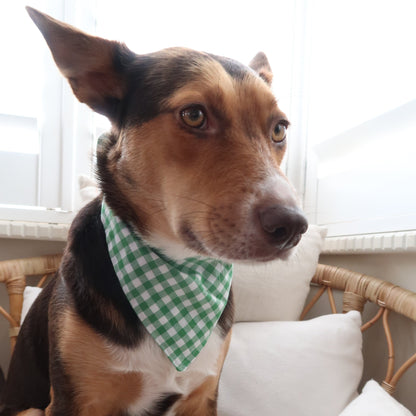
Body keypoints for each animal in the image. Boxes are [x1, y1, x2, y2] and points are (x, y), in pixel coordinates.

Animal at [0, 6, 306, 416]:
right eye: (193, 115)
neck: (179, 271)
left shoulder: (203, 396)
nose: (293, 226)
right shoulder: (74, 401)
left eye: (279, 130)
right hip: (30, 408)